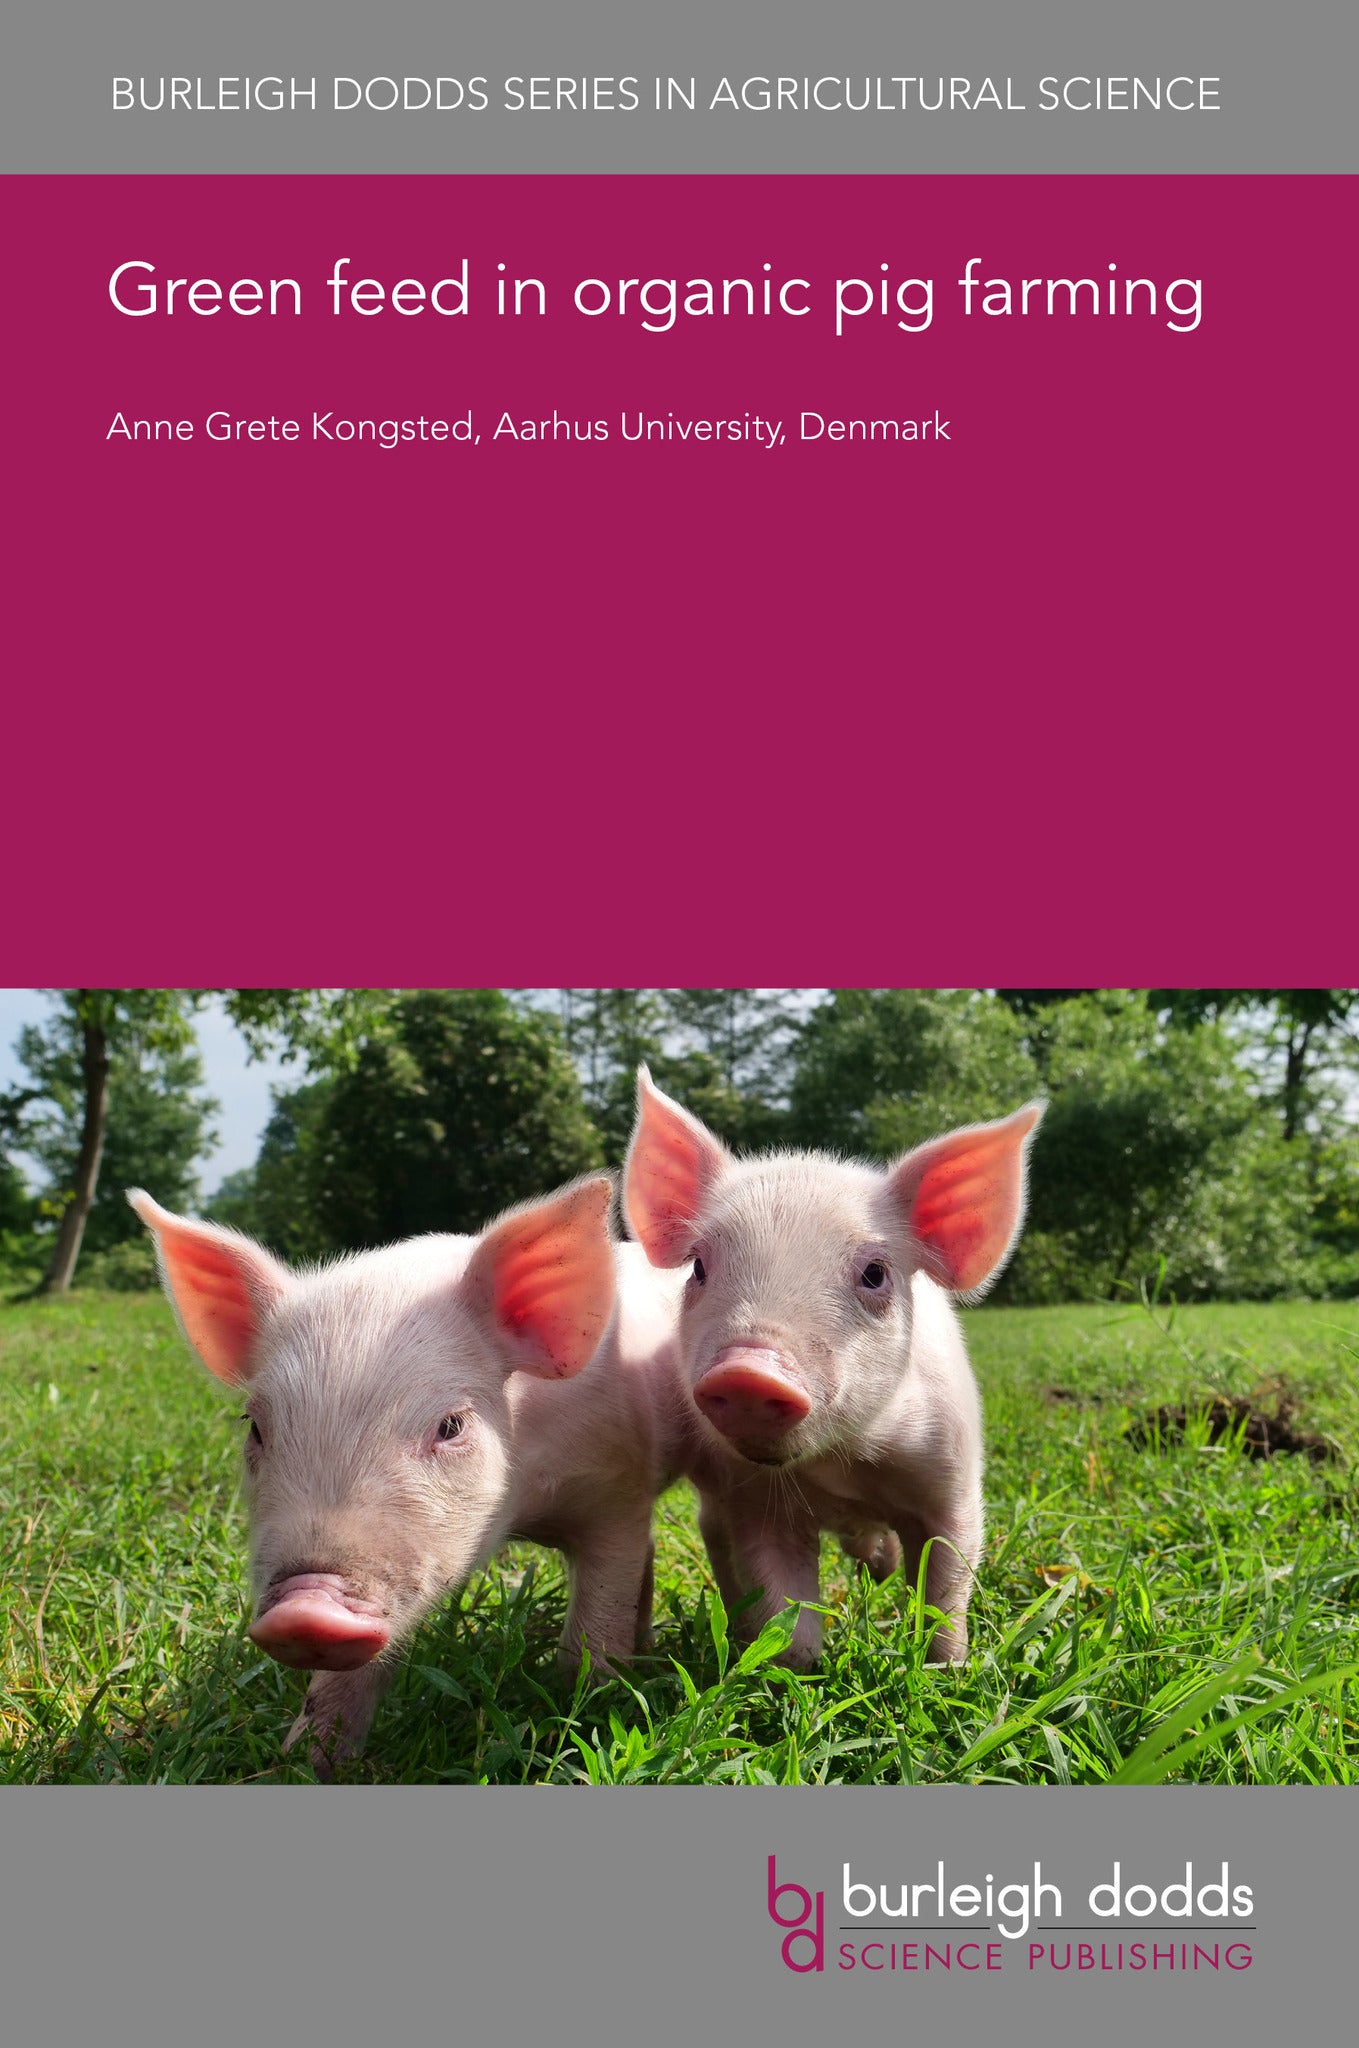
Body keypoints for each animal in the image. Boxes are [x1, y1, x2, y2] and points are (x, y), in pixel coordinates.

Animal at [130, 1176, 689, 1774]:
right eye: (255, 1427)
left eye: (450, 1425)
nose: (305, 1608)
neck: (522, 1511)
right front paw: (305, 1762)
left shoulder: (618, 1490)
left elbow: (596, 1624)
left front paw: (593, 1715)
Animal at [622, 1070, 1044, 1667]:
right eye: (699, 1267)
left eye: (874, 1274)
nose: (748, 1371)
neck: (843, 1467)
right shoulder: (752, 1501)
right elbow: (785, 1611)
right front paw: (795, 1670)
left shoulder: (952, 1479)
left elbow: (945, 1585)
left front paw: (947, 1668)